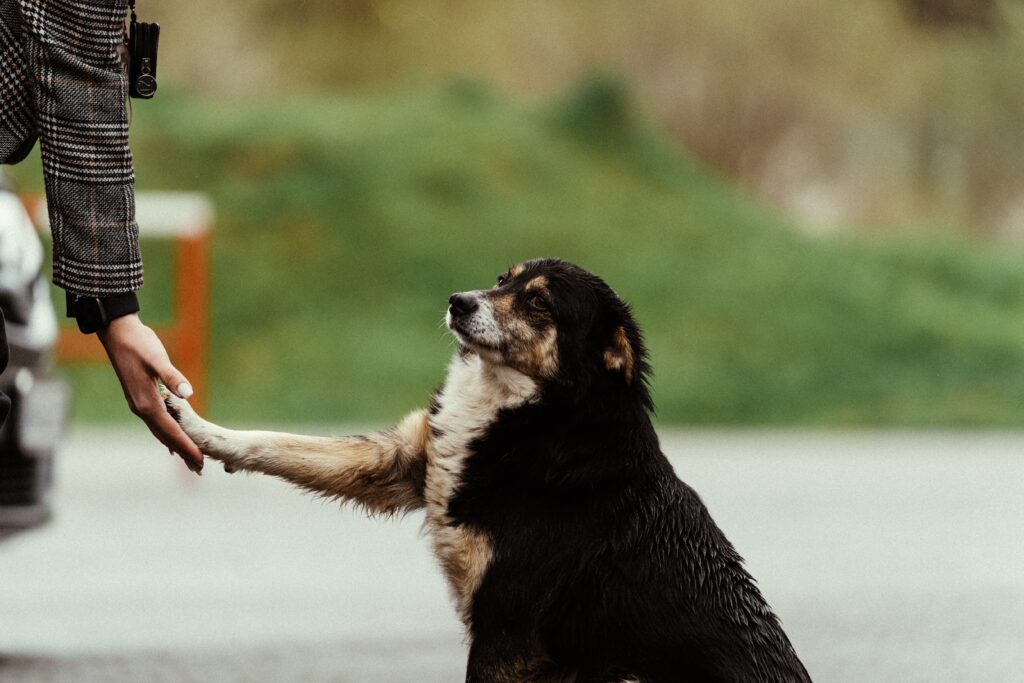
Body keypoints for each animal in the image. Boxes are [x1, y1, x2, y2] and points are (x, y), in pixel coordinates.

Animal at [163, 259, 811, 679]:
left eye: (538, 301)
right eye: (505, 279)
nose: (458, 300)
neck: (530, 420)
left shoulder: (507, 634)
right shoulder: (402, 462)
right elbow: (272, 443)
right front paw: (194, 423)